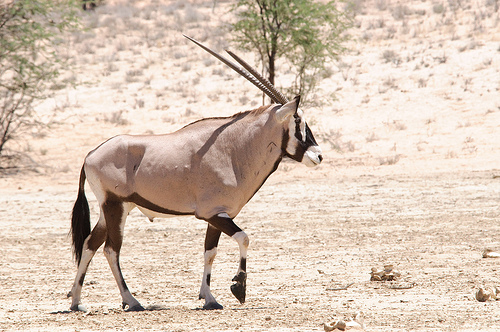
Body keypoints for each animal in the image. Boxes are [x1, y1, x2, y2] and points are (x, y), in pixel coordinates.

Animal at [67, 35, 324, 312]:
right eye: (297, 121)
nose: (318, 155)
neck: (235, 148)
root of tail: (90, 155)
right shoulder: (212, 213)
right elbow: (244, 238)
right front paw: (238, 288)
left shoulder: (219, 215)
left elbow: (209, 252)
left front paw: (209, 297)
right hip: (115, 207)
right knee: (111, 250)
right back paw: (131, 301)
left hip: (113, 209)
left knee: (90, 244)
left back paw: (77, 301)